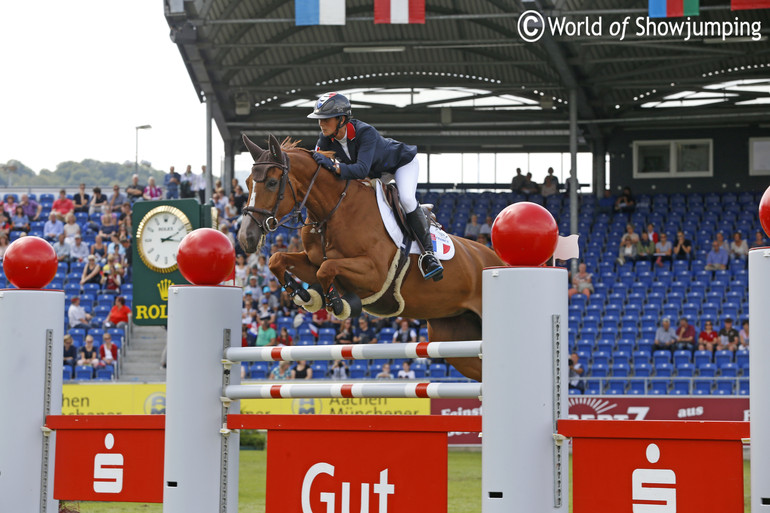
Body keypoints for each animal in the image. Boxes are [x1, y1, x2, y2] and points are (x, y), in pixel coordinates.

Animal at [237, 134, 500, 382]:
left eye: (272, 183)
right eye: (248, 182)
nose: (245, 238)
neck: (334, 211)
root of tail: (497, 262)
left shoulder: (374, 274)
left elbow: (327, 269)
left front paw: (337, 303)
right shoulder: (313, 262)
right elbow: (278, 260)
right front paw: (303, 294)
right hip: (454, 335)